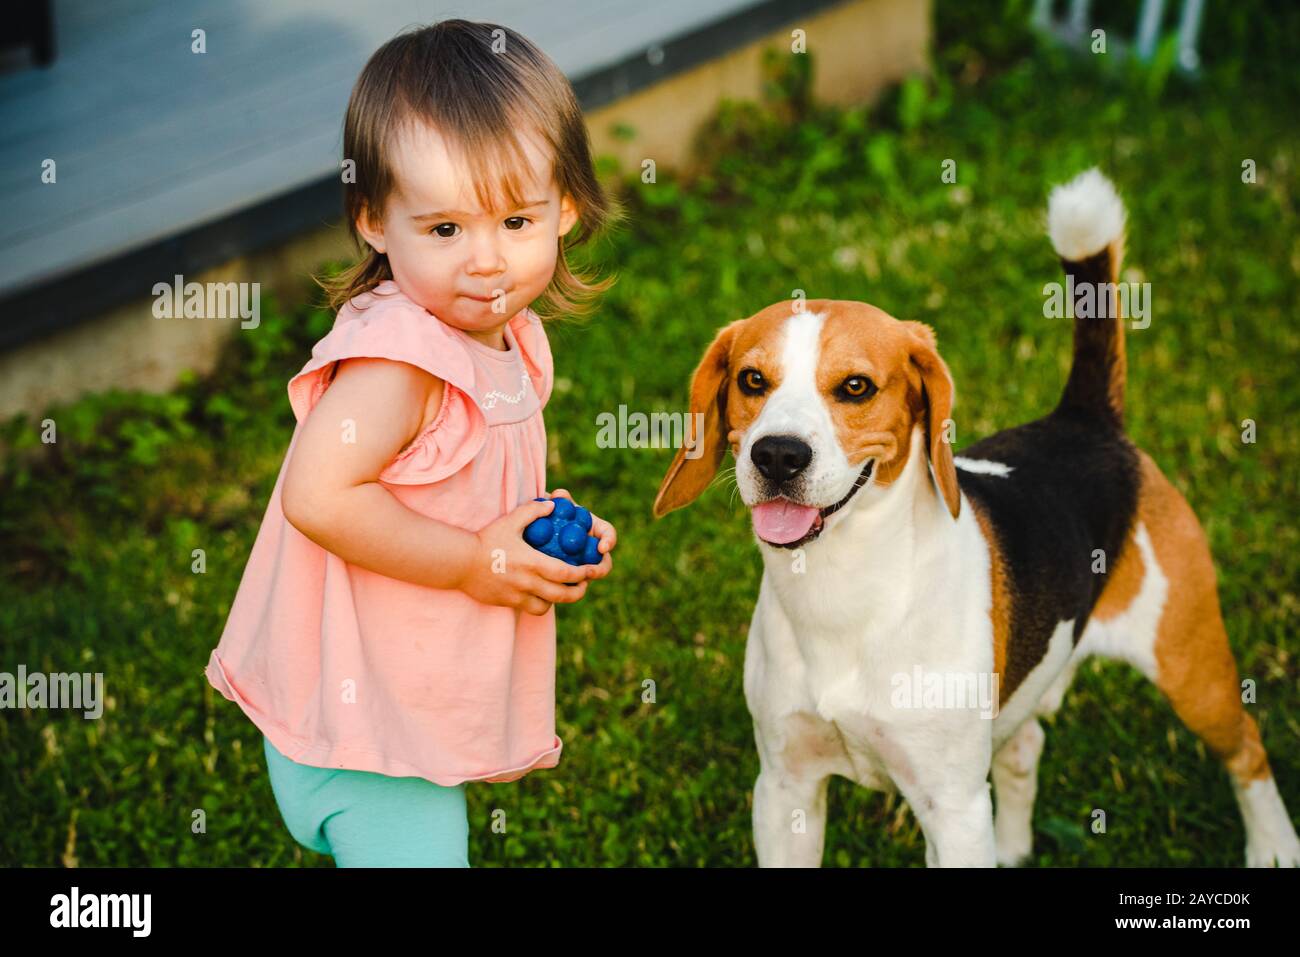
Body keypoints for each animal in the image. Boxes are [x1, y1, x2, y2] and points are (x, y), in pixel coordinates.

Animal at [650, 170, 1300, 868]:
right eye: (752, 379)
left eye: (855, 387)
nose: (776, 455)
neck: (842, 588)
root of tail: (1084, 419)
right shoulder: (783, 789)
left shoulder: (953, 808)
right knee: (1026, 747)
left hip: (1192, 668)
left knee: (1247, 747)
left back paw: (1273, 844)